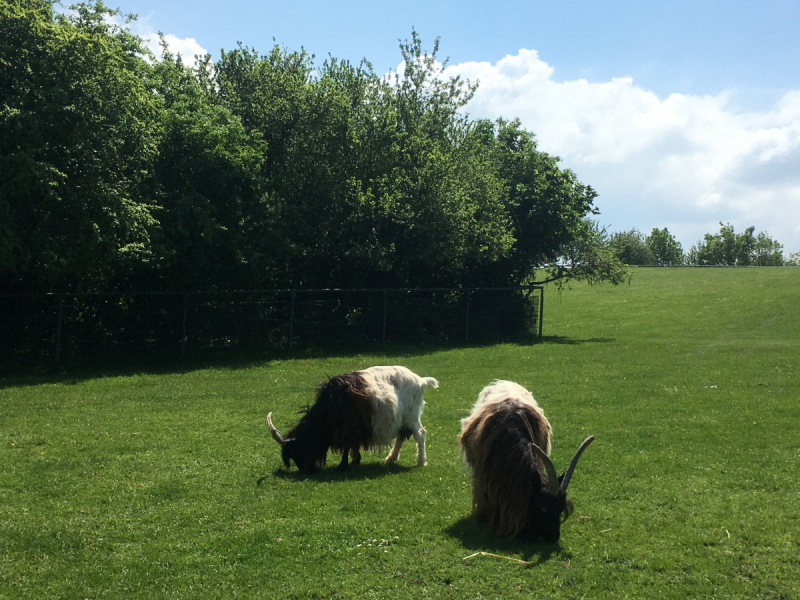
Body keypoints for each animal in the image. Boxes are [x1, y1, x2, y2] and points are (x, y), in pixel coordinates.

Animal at [268, 366, 438, 474]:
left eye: (297, 451)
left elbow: (347, 445)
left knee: (420, 433)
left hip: (411, 414)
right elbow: (353, 444)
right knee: (402, 435)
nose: (307, 470)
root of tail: (421, 380)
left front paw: (343, 465)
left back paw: (420, 461)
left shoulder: (348, 426)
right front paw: (355, 460)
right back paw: (391, 459)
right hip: (402, 419)